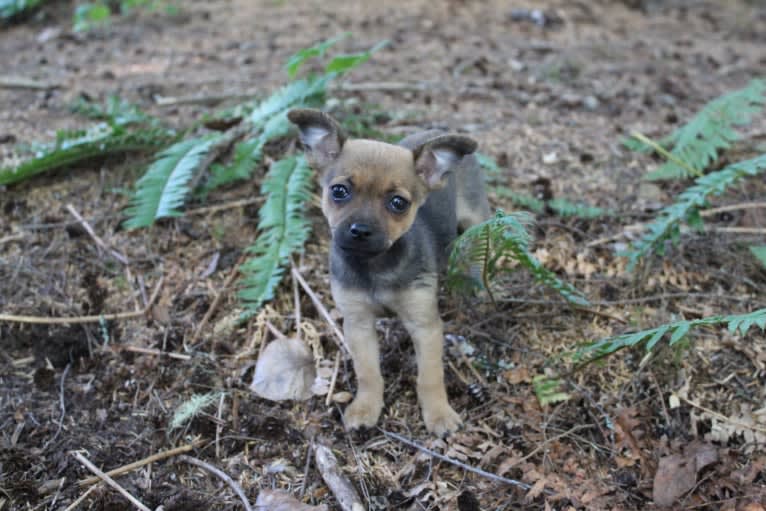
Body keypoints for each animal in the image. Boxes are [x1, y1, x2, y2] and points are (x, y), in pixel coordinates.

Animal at [288, 109, 492, 436]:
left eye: (398, 203)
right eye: (339, 191)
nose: (360, 230)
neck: (374, 266)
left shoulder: (425, 327)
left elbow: (430, 376)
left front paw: (438, 414)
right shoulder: (358, 324)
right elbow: (368, 372)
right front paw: (366, 407)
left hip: (477, 219)